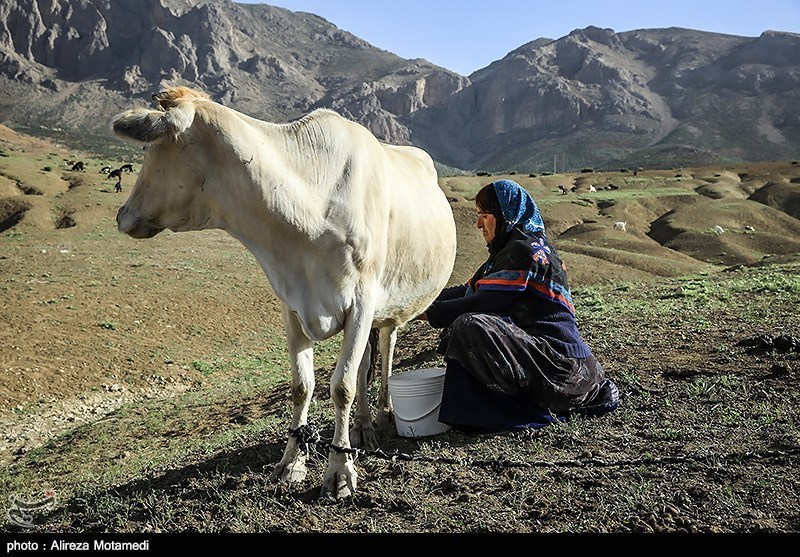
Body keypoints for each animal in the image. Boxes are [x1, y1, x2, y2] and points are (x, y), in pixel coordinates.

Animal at [109, 86, 456, 496]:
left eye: (149, 150)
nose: (121, 215)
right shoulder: (293, 304)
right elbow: (302, 386)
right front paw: (292, 461)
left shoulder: (363, 300)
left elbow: (341, 386)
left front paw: (340, 469)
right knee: (366, 364)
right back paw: (364, 426)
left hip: (387, 304)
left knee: (385, 351)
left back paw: (384, 412)